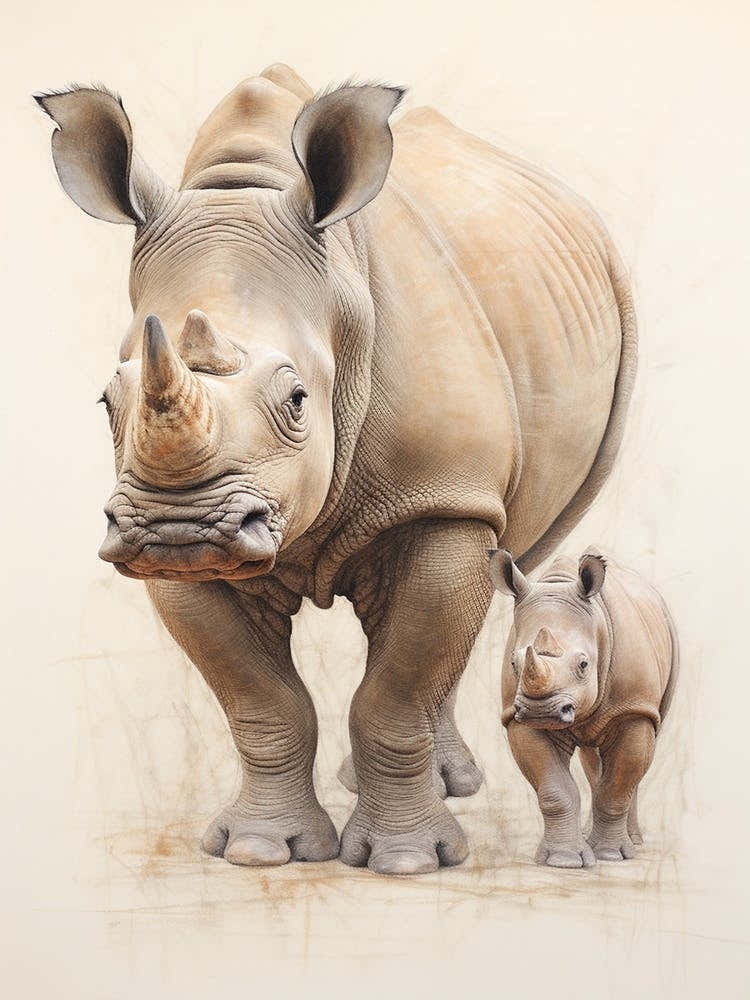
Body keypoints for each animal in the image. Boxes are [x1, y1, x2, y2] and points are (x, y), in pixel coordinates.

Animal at [35, 63, 636, 875]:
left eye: (298, 400)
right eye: (107, 401)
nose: (177, 528)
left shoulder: (441, 495)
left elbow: (398, 687)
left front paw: (407, 863)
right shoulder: (170, 552)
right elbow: (258, 699)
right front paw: (262, 850)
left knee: (508, 558)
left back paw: (450, 785)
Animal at [489, 548, 678, 867]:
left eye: (583, 665)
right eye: (514, 664)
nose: (542, 711)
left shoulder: (634, 708)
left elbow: (617, 787)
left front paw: (610, 855)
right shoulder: (516, 717)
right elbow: (555, 790)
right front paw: (563, 860)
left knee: (644, 747)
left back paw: (633, 843)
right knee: (593, 761)